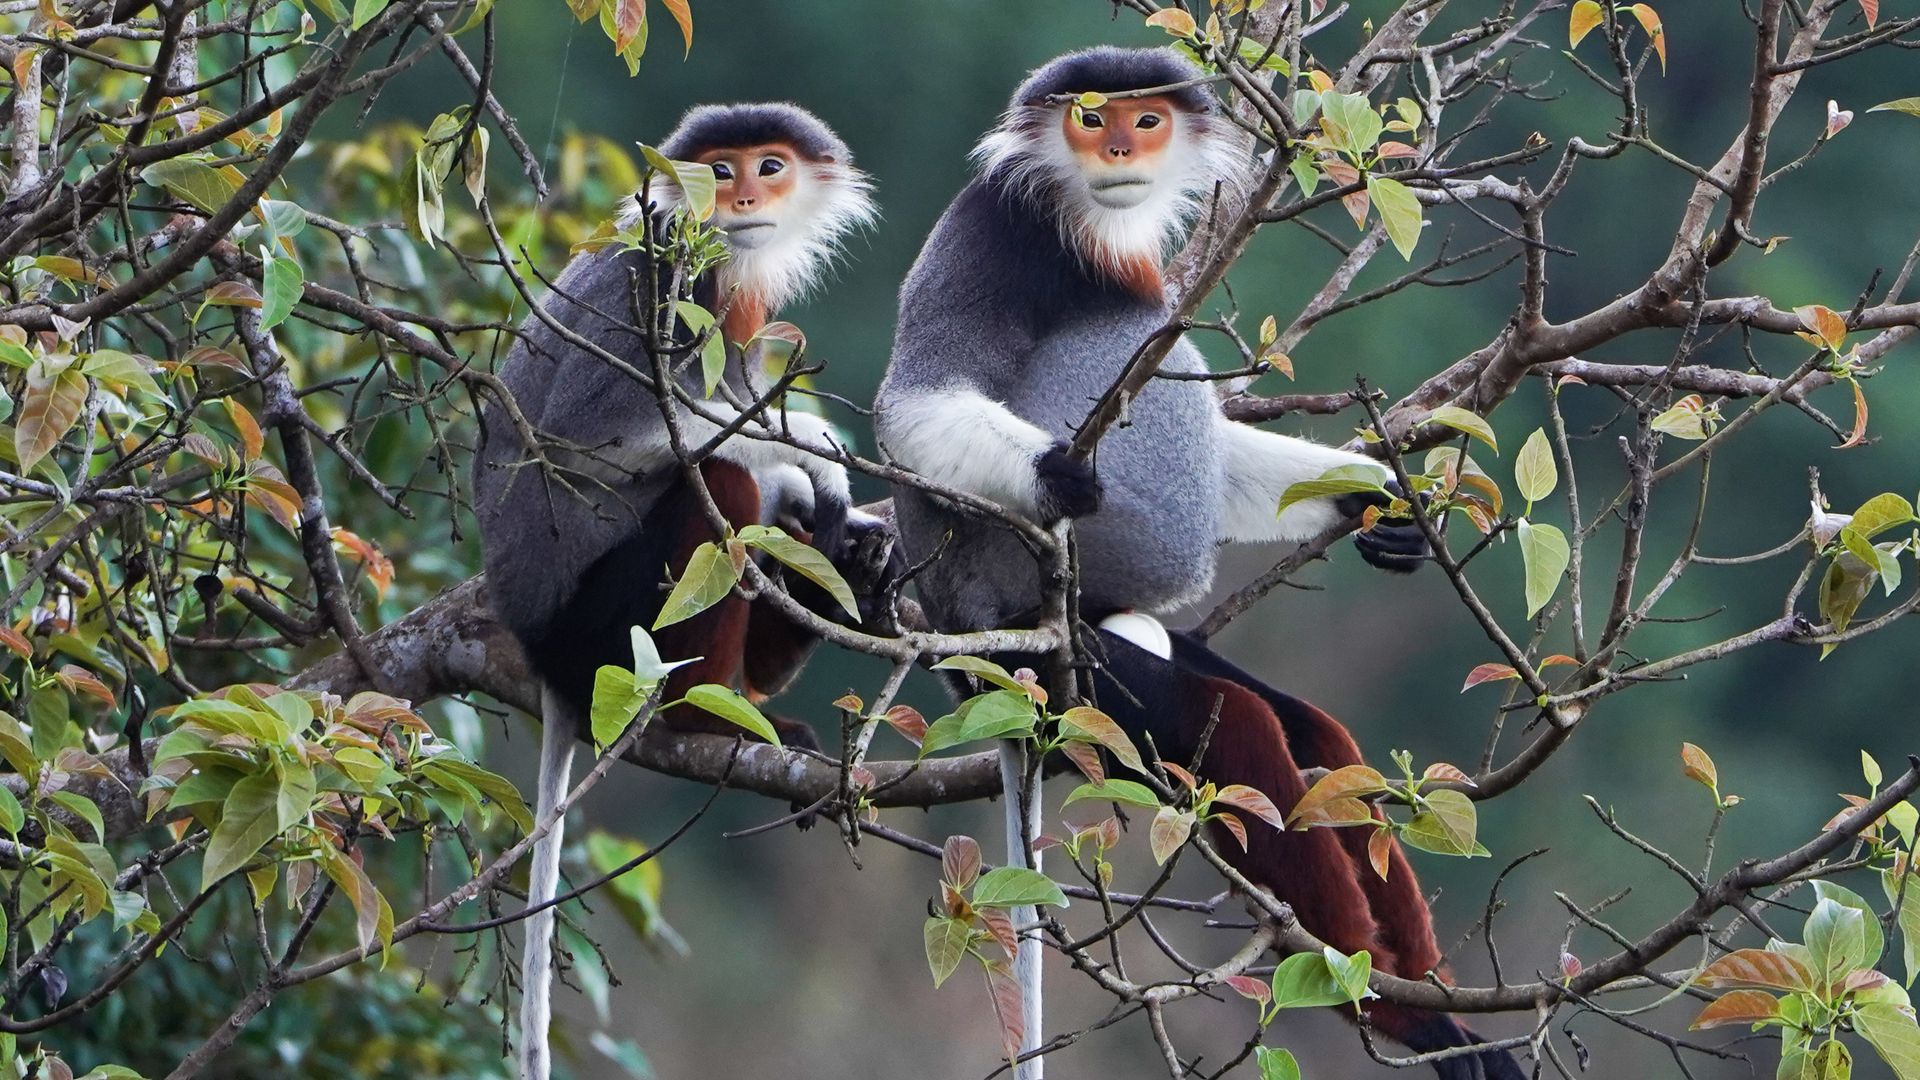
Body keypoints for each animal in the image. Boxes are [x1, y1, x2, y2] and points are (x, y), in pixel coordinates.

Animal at [471, 103, 881, 1080]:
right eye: (720, 169)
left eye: (769, 167)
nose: (741, 199)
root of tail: (538, 650)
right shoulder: (661, 288)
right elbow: (592, 449)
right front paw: (812, 455)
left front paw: (844, 523)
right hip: (596, 627)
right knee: (720, 486)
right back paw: (710, 716)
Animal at [874, 48, 1522, 1079]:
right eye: (1090, 117)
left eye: (1145, 118)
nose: (1119, 147)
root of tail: (966, 657)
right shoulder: (996, 232)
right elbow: (916, 403)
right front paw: (1061, 477)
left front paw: (1377, 501)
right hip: (1057, 669)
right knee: (1240, 730)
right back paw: (1389, 1004)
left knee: (1309, 734)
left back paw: (1427, 999)